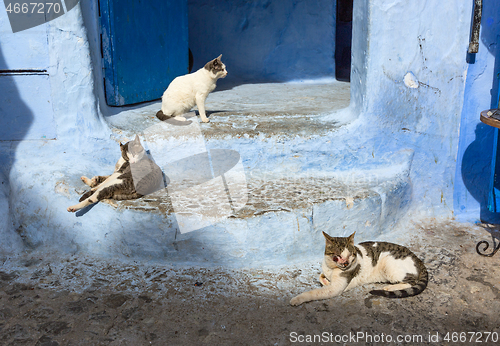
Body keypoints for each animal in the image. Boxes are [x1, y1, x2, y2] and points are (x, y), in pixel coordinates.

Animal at [292, 232, 428, 306]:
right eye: (337, 256)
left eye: (351, 255)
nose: (346, 263)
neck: (331, 268)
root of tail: (417, 258)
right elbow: (320, 276)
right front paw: (325, 280)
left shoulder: (335, 288)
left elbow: (313, 293)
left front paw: (297, 299)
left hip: (389, 264)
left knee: (411, 282)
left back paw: (390, 287)